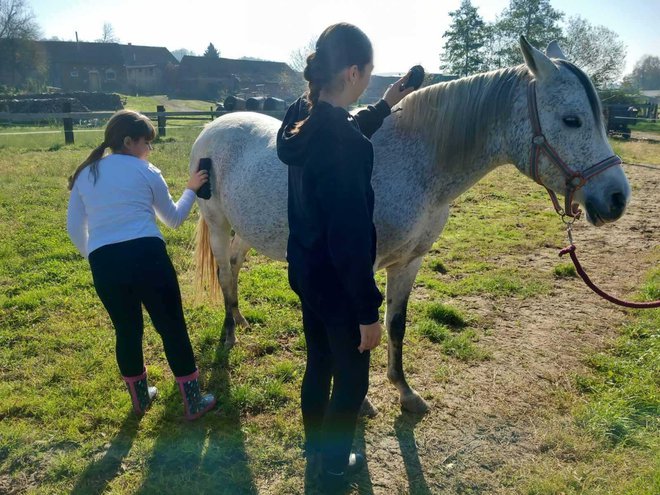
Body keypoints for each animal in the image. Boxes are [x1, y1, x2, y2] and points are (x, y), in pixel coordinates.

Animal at [189, 37, 628, 414]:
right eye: (571, 120)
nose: (617, 198)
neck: (417, 163)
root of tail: (213, 127)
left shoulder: (409, 262)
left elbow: (395, 325)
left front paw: (404, 391)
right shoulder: (362, 268)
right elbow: (359, 330)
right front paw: (363, 402)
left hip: (248, 230)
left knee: (235, 266)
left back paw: (240, 319)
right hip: (218, 223)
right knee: (224, 273)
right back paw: (229, 333)